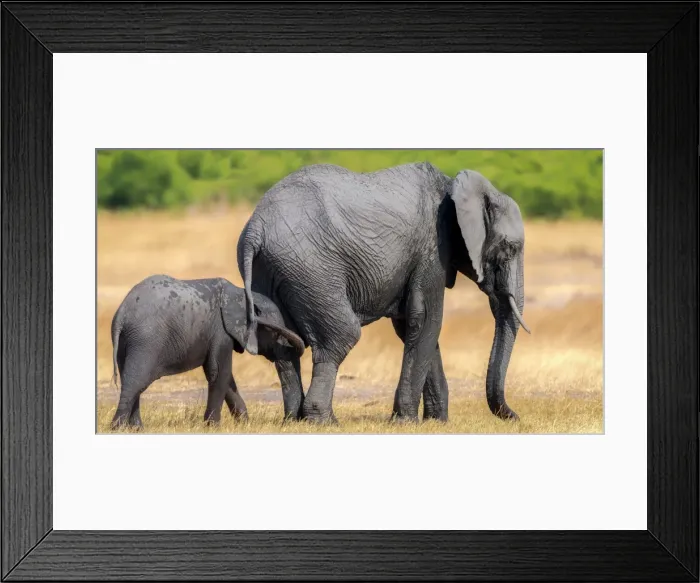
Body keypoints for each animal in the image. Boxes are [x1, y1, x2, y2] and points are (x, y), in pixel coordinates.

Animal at [109, 274, 305, 429]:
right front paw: (213, 427)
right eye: (275, 333)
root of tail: (121, 315)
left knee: (131, 380)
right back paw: (118, 428)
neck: (242, 293)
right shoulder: (221, 330)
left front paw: (244, 424)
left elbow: (225, 377)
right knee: (136, 381)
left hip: (128, 342)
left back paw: (136, 429)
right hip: (146, 341)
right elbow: (219, 372)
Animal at [237, 162, 530, 424]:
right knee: (341, 335)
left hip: (272, 271)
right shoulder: (432, 247)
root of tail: (255, 229)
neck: (454, 187)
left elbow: (411, 325)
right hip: (311, 269)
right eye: (509, 248)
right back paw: (323, 421)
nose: (514, 417)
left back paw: (294, 420)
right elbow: (425, 320)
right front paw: (406, 422)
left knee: (284, 344)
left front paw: (436, 423)